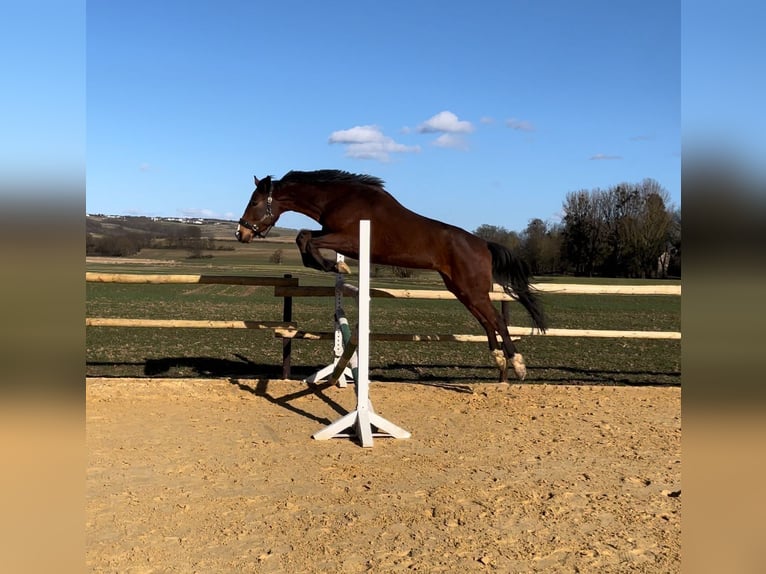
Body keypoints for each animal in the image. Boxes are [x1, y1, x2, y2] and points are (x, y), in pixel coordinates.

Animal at [237, 171, 548, 382]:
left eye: (254, 202)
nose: (242, 234)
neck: (337, 199)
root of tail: (483, 244)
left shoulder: (348, 240)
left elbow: (305, 239)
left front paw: (336, 267)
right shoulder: (332, 234)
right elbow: (303, 238)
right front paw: (333, 267)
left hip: (471, 289)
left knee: (496, 320)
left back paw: (517, 364)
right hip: (461, 290)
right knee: (486, 320)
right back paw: (499, 360)